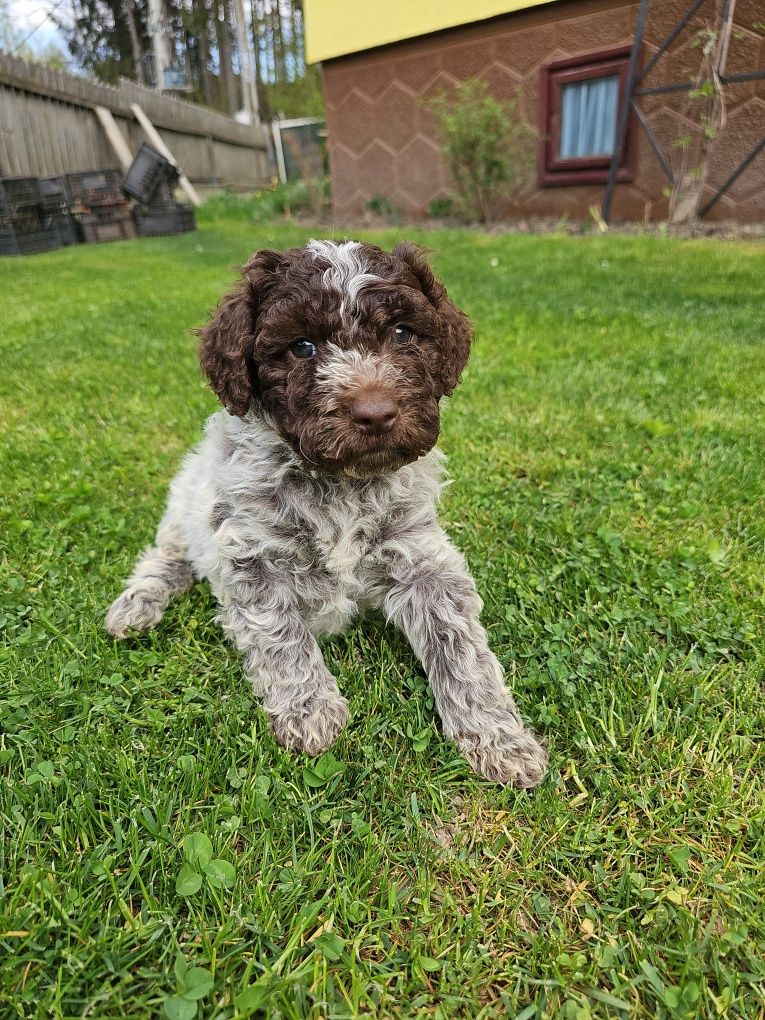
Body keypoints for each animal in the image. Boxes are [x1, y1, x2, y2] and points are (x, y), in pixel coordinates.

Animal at [109, 238, 550, 787]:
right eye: (302, 347)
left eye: (402, 333)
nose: (376, 414)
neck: (341, 482)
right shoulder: (252, 557)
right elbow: (281, 634)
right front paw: (309, 711)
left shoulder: (421, 556)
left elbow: (460, 645)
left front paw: (499, 736)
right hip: (184, 506)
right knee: (164, 557)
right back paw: (136, 606)